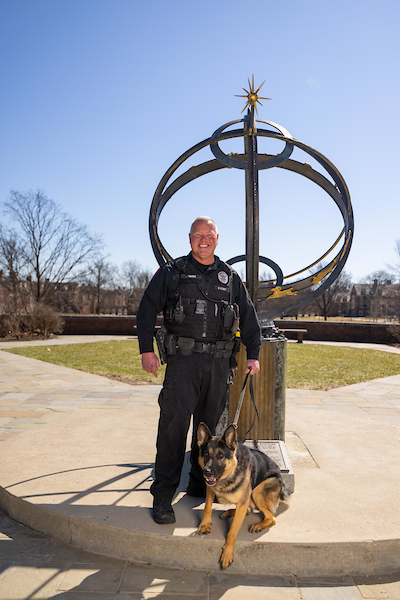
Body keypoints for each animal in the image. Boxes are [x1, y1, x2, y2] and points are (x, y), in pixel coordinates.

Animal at [195, 422, 286, 568]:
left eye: (220, 456)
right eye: (206, 454)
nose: (206, 472)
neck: (230, 471)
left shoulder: (243, 501)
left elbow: (232, 532)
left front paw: (227, 553)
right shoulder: (210, 489)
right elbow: (207, 508)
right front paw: (205, 525)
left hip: (257, 491)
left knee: (271, 518)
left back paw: (258, 525)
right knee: (248, 512)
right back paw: (230, 512)